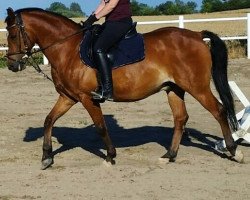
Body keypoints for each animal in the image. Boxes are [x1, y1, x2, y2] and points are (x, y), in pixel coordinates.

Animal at [4, 7, 243, 168]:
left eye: (13, 34)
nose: (12, 65)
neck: (68, 48)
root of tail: (196, 35)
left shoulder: (87, 97)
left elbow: (101, 126)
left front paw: (110, 156)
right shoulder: (68, 97)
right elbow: (49, 120)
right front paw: (46, 156)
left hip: (197, 87)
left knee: (219, 111)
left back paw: (234, 151)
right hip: (174, 89)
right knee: (180, 118)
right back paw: (169, 155)